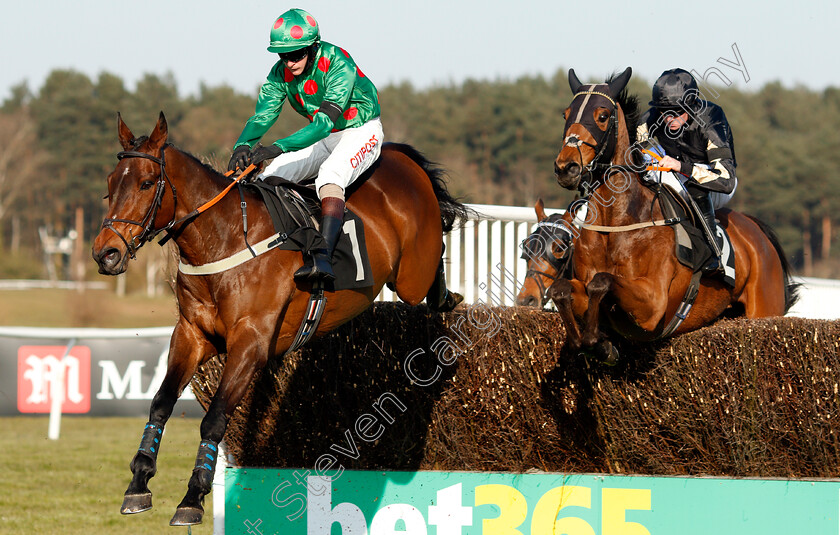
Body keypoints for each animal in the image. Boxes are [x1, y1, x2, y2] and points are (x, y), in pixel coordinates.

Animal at [95, 113, 470, 528]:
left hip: (411, 271)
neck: (224, 239)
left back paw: (447, 296)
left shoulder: (250, 343)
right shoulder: (192, 335)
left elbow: (215, 418)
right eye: (111, 183)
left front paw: (193, 497)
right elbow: (160, 402)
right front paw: (138, 483)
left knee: (435, 255)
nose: (105, 254)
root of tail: (400, 156)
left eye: (146, 183)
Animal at [516, 67, 796, 360]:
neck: (616, 225)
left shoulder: (653, 304)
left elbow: (601, 282)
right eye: (566, 114)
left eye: (602, 116)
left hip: (763, 308)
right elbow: (562, 289)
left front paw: (597, 341)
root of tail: (755, 228)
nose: (565, 167)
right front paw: (592, 341)